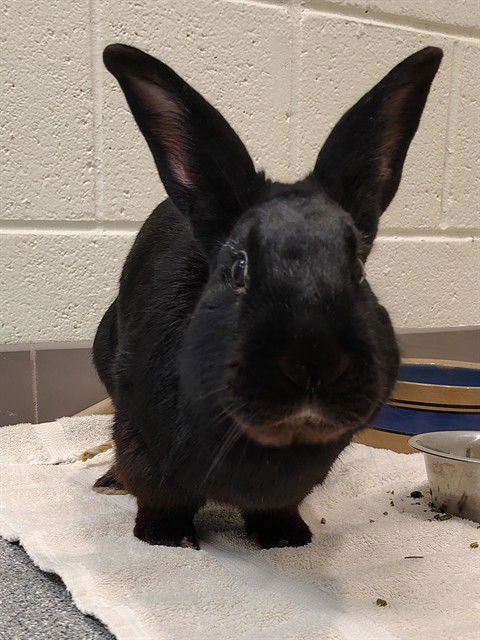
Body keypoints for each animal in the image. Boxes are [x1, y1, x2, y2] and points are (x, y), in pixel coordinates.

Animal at [93, 43, 442, 549]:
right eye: (238, 269)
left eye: (358, 270)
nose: (315, 363)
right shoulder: (140, 440)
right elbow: (159, 496)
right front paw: (165, 538)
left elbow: (279, 508)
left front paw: (287, 538)